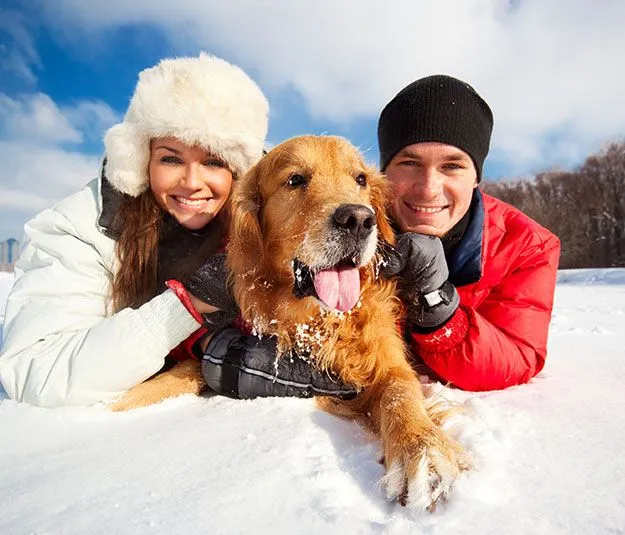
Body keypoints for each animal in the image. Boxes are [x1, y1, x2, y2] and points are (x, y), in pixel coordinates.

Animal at [112, 136, 466, 512]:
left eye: (359, 179)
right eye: (295, 180)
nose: (358, 219)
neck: (313, 319)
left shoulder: (386, 359)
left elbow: (399, 394)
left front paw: (423, 454)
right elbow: (162, 383)